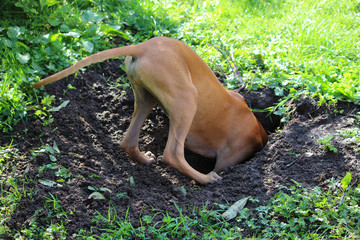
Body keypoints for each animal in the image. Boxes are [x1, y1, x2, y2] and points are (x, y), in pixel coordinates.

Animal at [31, 36, 268, 185]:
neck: (255, 125)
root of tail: (144, 46)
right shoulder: (228, 156)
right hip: (187, 100)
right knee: (172, 153)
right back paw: (205, 179)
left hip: (147, 98)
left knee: (128, 141)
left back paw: (143, 159)